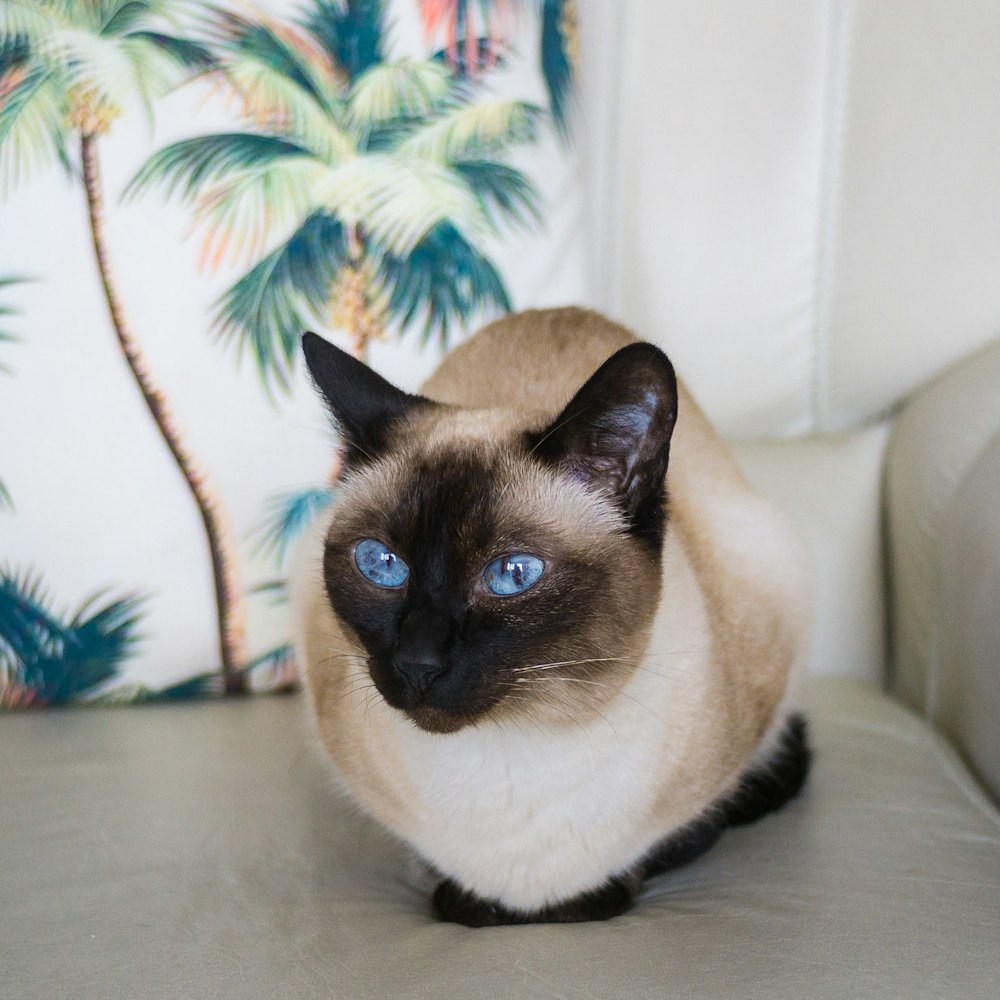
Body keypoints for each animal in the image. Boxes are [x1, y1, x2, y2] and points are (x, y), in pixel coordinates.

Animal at [292, 308, 812, 924]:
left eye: (512, 574)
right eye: (382, 564)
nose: (418, 662)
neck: (510, 757)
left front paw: (592, 899)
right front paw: (464, 900)